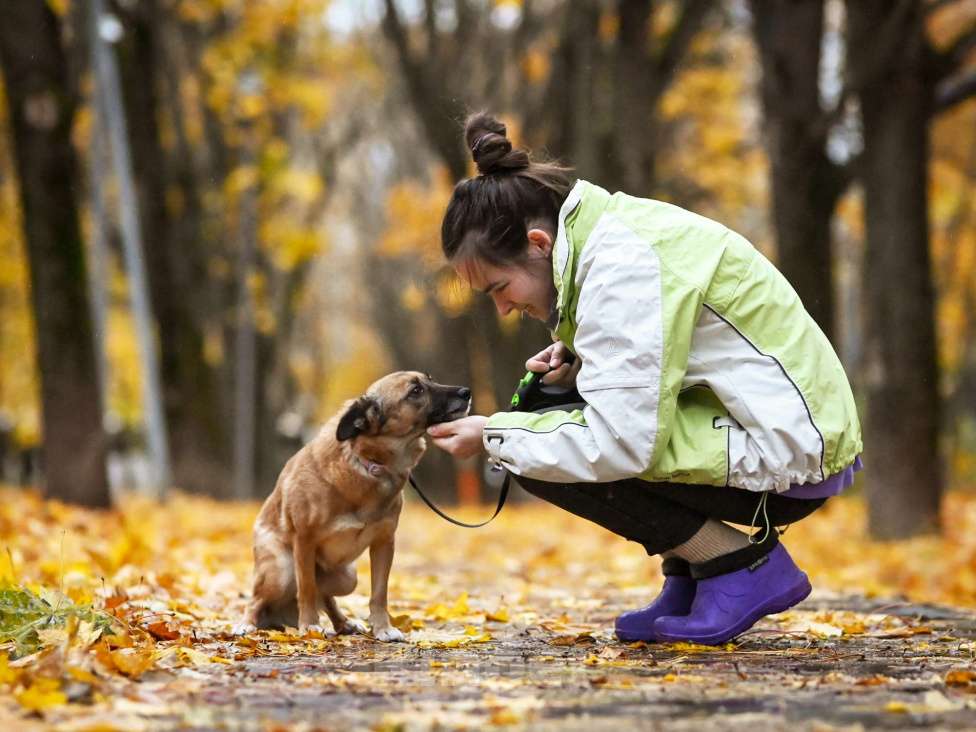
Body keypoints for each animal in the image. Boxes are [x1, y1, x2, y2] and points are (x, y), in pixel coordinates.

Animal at [233, 372, 468, 640]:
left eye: (431, 379)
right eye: (415, 391)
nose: (466, 392)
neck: (368, 463)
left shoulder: (384, 543)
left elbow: (379, 593)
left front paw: (382, 628)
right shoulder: (304, 541)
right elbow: (306, 588)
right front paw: (309, 625)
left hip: (347, 577)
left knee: (327, 596)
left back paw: (344, 624)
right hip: (281, 571)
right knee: (257, 599)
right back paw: (247, 624)